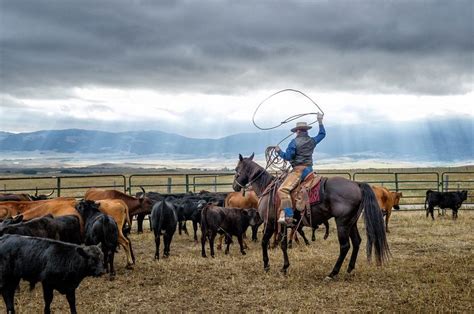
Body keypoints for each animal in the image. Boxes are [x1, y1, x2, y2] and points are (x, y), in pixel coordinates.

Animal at [231, 153, 390, 278]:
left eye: (237, 169)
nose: (235, 186)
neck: (267, 187)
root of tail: (357, 184)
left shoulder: (269, 223)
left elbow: (264, 242)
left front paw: (266, 265)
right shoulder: (283, 224)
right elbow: (283, 244)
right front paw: (285, 267)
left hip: (342, 223)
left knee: (345, 246)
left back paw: (333, 273)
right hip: (352, 222)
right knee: (357, 242)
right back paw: (349, 268)